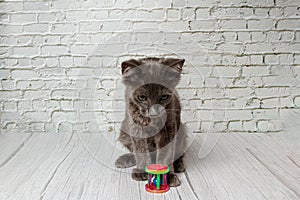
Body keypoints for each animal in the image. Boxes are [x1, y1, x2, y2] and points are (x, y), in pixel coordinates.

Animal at [114, 57, 186, 186]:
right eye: (142, 97)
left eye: (164, 97)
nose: (154, 112)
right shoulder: (136, 128)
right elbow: (140, 151)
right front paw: (141, 171)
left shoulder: (168, 129)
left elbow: (166, 153)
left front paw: (168, 175)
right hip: (124, 132)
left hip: (182, 130)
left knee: (180, 153)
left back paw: (179, 165)